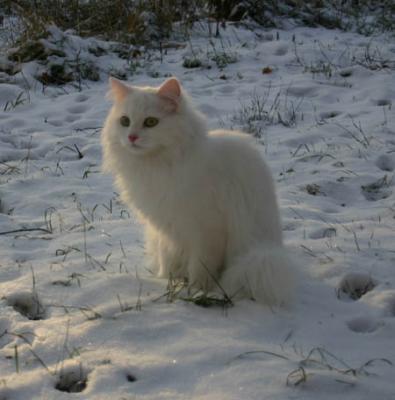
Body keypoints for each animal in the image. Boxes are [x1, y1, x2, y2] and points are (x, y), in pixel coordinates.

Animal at [103, 77, 296, 306]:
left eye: (150, 122)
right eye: (125, 121)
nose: (132, 137)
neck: (159, 165)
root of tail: (272, 247)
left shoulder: (206, 230)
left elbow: (200, 267)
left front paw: (195, 291)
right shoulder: (165, 229)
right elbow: (168, 260)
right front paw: (165, 280)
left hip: (250, 252)